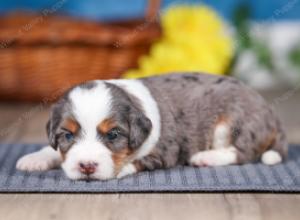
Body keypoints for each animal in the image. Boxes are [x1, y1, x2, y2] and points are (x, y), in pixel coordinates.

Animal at [16, 73, 288, 180]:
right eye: (67, 136)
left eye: (113, 135)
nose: (86, 167)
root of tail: (272, 114)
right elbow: (52, 150)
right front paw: (34, 158)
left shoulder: (165, 152)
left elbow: (137, 161)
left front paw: (120, 169)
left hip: (232, 122)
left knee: (243, 153)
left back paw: (205, 158)